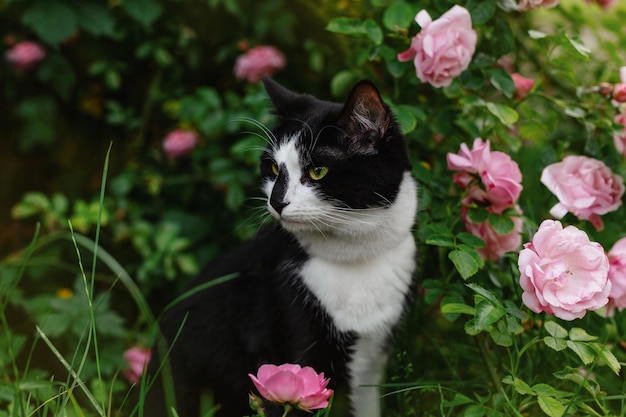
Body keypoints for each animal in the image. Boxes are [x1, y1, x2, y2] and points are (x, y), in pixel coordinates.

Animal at [144, 79, 416, 416]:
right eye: (273, 168)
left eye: (317, 171)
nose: (276, 201)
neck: (354, 261)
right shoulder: (294, 341)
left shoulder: (373, 358)